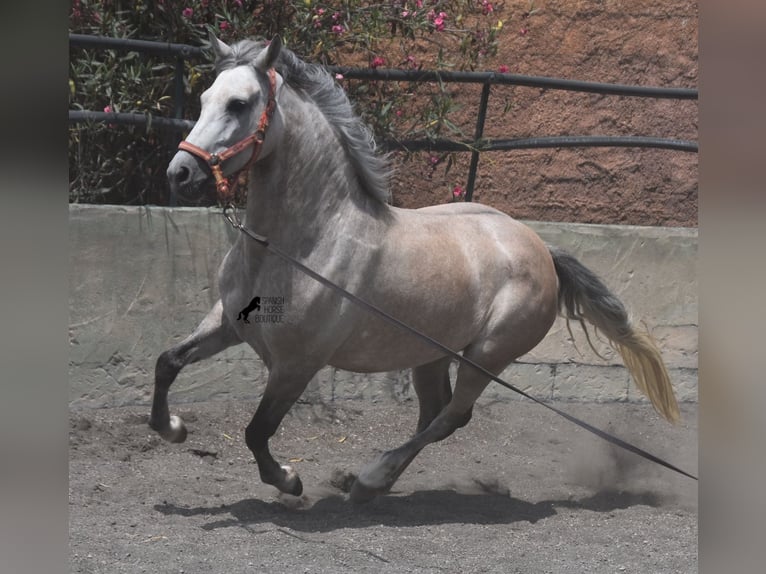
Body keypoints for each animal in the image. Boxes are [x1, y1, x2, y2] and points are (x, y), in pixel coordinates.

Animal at [150, 35, 680, 504]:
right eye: (204, 98)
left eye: (239, 104)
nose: (179, 173)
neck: (302, 244)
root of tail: (541, 249)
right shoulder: (228, 325)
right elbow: (167, 362)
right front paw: (172, 428)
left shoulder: (297, 364)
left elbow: (257, 432)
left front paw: (290, 482)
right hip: (432, 355)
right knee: (434, 414)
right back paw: (370, 482)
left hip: (488, 355)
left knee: (452, 417)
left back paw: (369, 480)